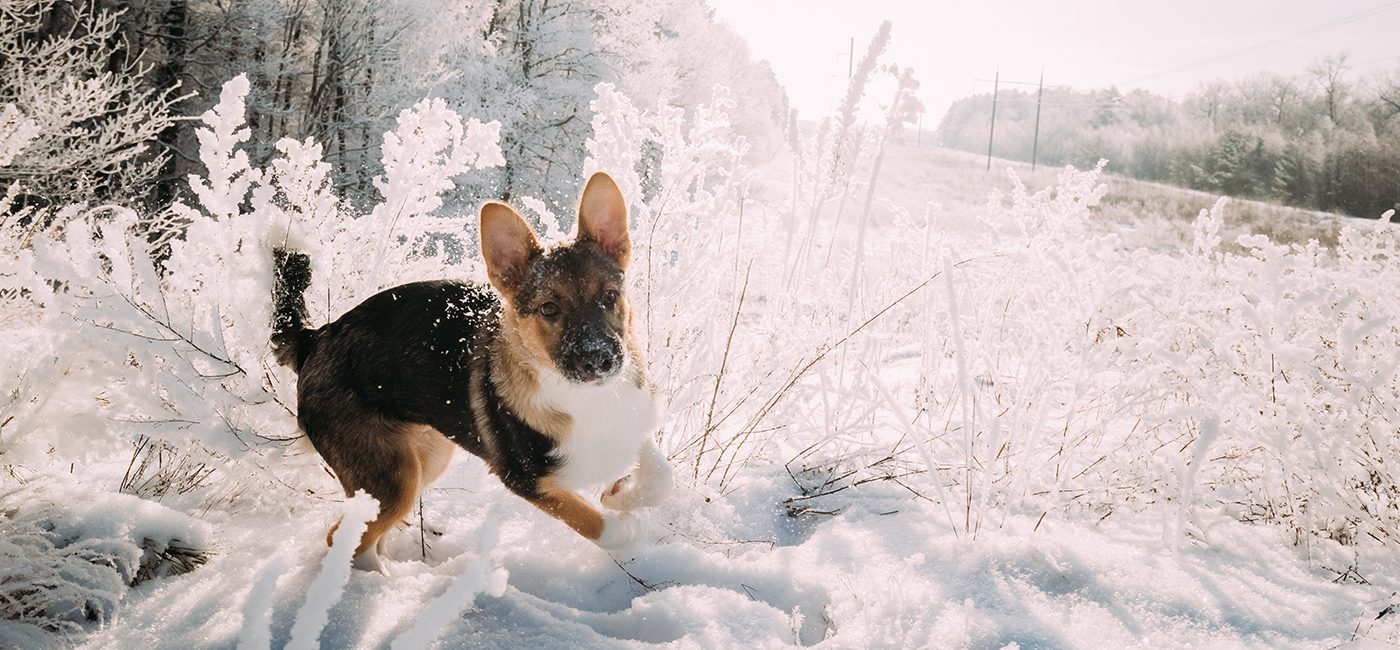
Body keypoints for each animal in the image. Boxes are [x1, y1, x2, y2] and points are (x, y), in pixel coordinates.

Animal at [271, 173, 672, 574]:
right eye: (549, 309)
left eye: (609, 296)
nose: (598, 360)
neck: (586, 398)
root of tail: (315, 338)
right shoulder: (523, 477)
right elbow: (593, 522)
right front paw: (626, 524)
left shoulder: (634, 419)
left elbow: (660, 476)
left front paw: (619, 494)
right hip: (392, 479)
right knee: (346, 539)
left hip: (427, 457)